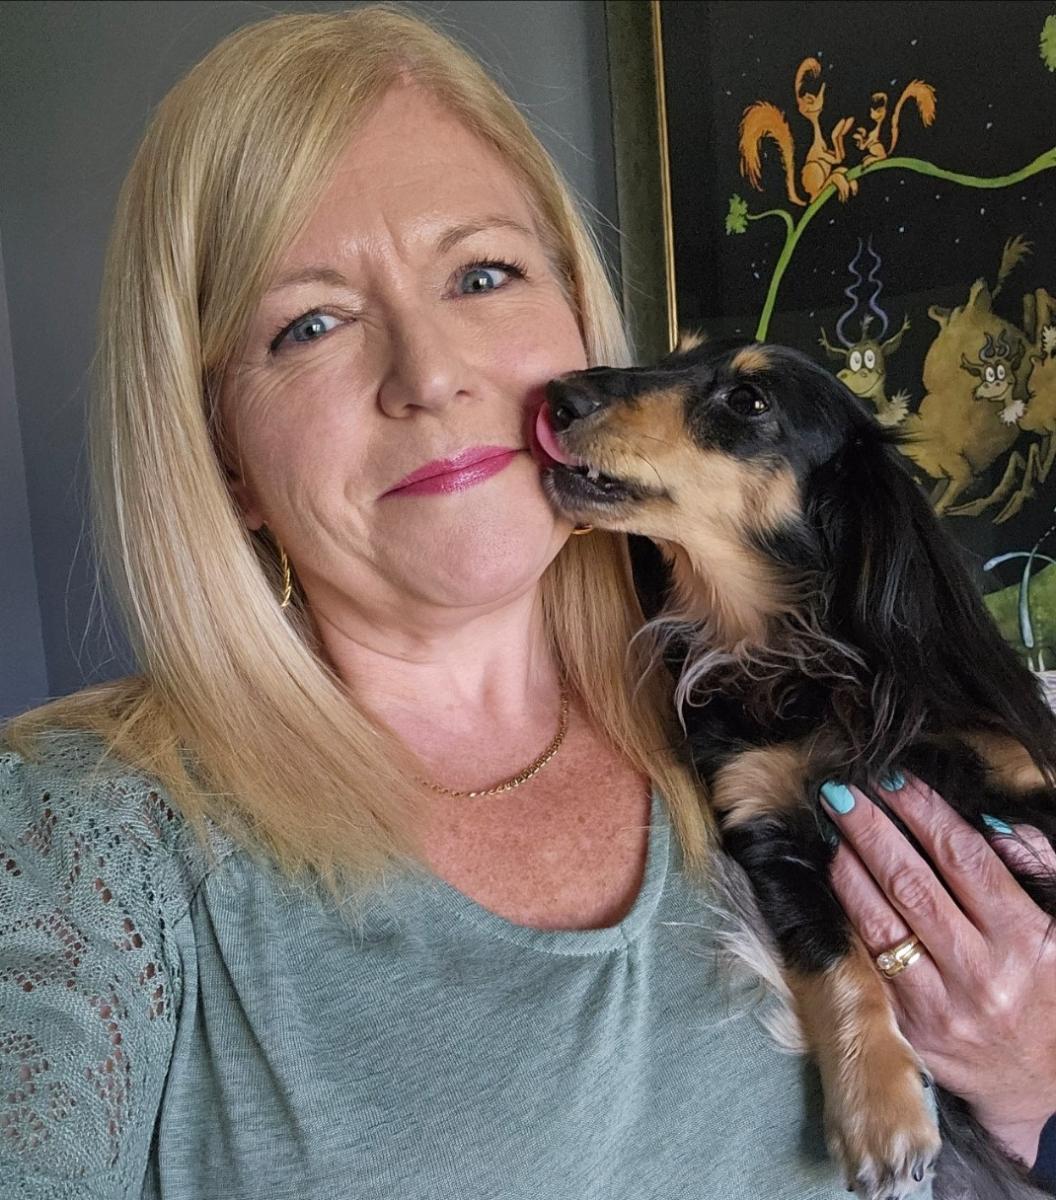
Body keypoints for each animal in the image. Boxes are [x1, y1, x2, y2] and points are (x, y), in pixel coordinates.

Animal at [540, 336, 1051, 1200]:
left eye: (750, 401)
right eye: (673, 356)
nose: (555, 395)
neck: (799, 658)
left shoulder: (1022, 780)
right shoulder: (767, 825)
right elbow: (836, 959)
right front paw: (881, 1113)